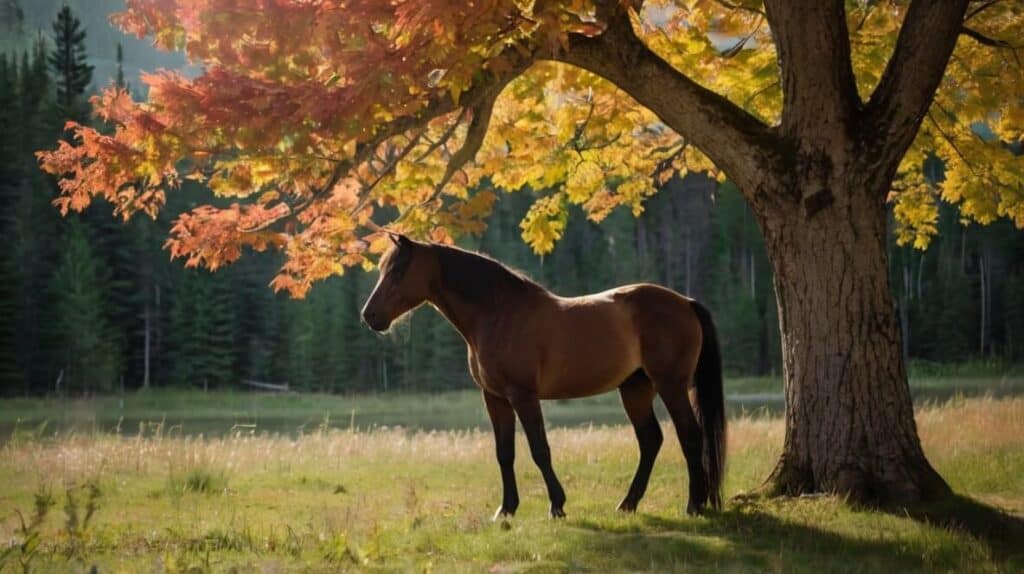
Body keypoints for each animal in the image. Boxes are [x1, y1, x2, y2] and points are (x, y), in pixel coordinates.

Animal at [360, 233, 725, 518]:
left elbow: (539, 449)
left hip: (671, 385)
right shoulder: (495, 398)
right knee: (651, 440)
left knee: (690, 436)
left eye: (397, 270)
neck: (499, 314)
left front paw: (557, 505)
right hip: (635, 389)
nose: (369, 316)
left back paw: (694, 505)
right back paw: (628, 504)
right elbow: (504, 453)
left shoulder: (523, 395)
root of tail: (686, 302)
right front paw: (506, 509)